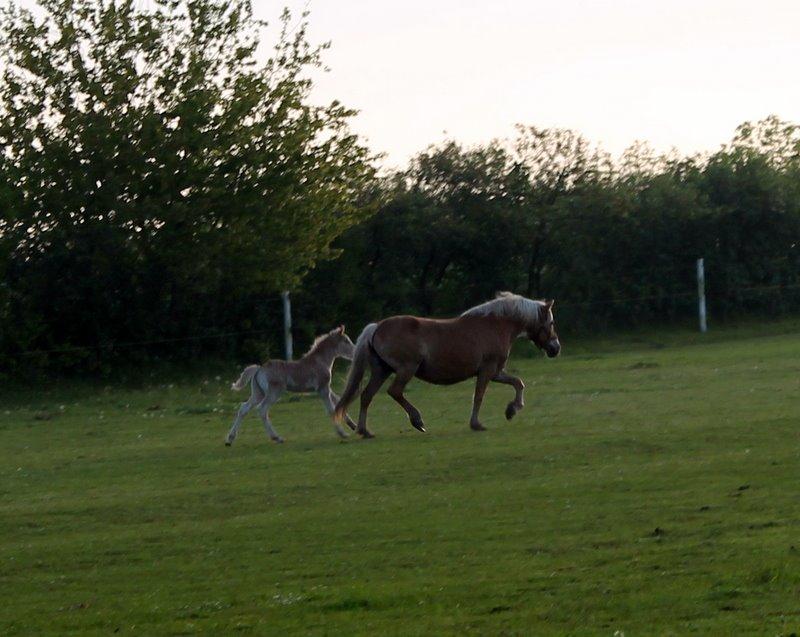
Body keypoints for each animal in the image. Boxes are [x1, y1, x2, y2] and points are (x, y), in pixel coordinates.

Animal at [228, 326, 360, 444]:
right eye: (346, 341)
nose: (355, 352)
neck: (320, 361)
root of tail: (259, 369)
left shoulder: (326, 388)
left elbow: (338, 401)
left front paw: (353, 425)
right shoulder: (323, 388)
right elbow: (331, 410)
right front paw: (342, 433)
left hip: (258, 393)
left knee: (243, 408)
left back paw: (230, 439)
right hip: (274, 393)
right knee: (262, 409)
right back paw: (277, 438)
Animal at [334, 294, 560, 438]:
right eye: (551, 323)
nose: (555, 348)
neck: (495, 326)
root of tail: (377, 327)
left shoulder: (496, 371)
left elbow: (518, 383)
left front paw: (512, 409)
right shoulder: (487, 370)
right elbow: (479, 396)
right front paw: (477, 424)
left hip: (382, 370)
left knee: (367, 396)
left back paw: (365, 430)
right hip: (406, 369)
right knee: (395, 391)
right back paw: (417, 421)